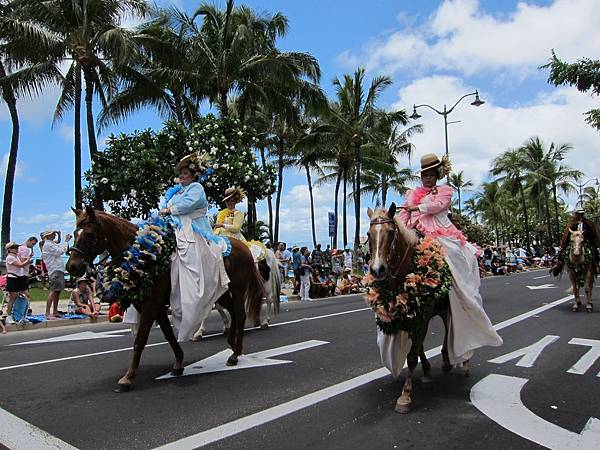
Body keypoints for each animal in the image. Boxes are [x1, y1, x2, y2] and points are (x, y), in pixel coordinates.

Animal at [65, 207, 262, 390]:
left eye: (90, 235)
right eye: (75, 234)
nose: (72, 267)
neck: (143, 257)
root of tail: (245, 247)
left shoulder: (151, 305)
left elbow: (140, 341)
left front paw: (128, 377)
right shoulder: (152, 306)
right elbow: (168, 335)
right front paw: (178, 364)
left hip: (237, 289)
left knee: (240, 315)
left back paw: (235, 354)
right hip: (221, 293)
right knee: (234, 313)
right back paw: (232, 345)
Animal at [366, 205, 450, 414]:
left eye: (390, 232)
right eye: (368, 234)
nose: (377, 270)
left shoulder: (424, 317)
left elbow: (412, 356)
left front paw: (405, 396)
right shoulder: (408, 318)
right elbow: (418, 348)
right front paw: (427, 374)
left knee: (450, 327)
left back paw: (454, 361)